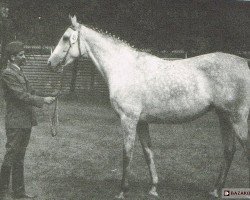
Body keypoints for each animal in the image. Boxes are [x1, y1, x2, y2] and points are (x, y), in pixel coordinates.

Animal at [47, 15, 250, 198]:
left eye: (66, 37)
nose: (50, 63)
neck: (125, 68)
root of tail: (245, 63)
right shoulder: (142, 122)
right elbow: (148, 152)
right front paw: (153, 188)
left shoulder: (128, 119)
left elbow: (127, 153)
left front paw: (122, 191)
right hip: (224, 117)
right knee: (229, 150)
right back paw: (215, 190)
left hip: (237, 118)